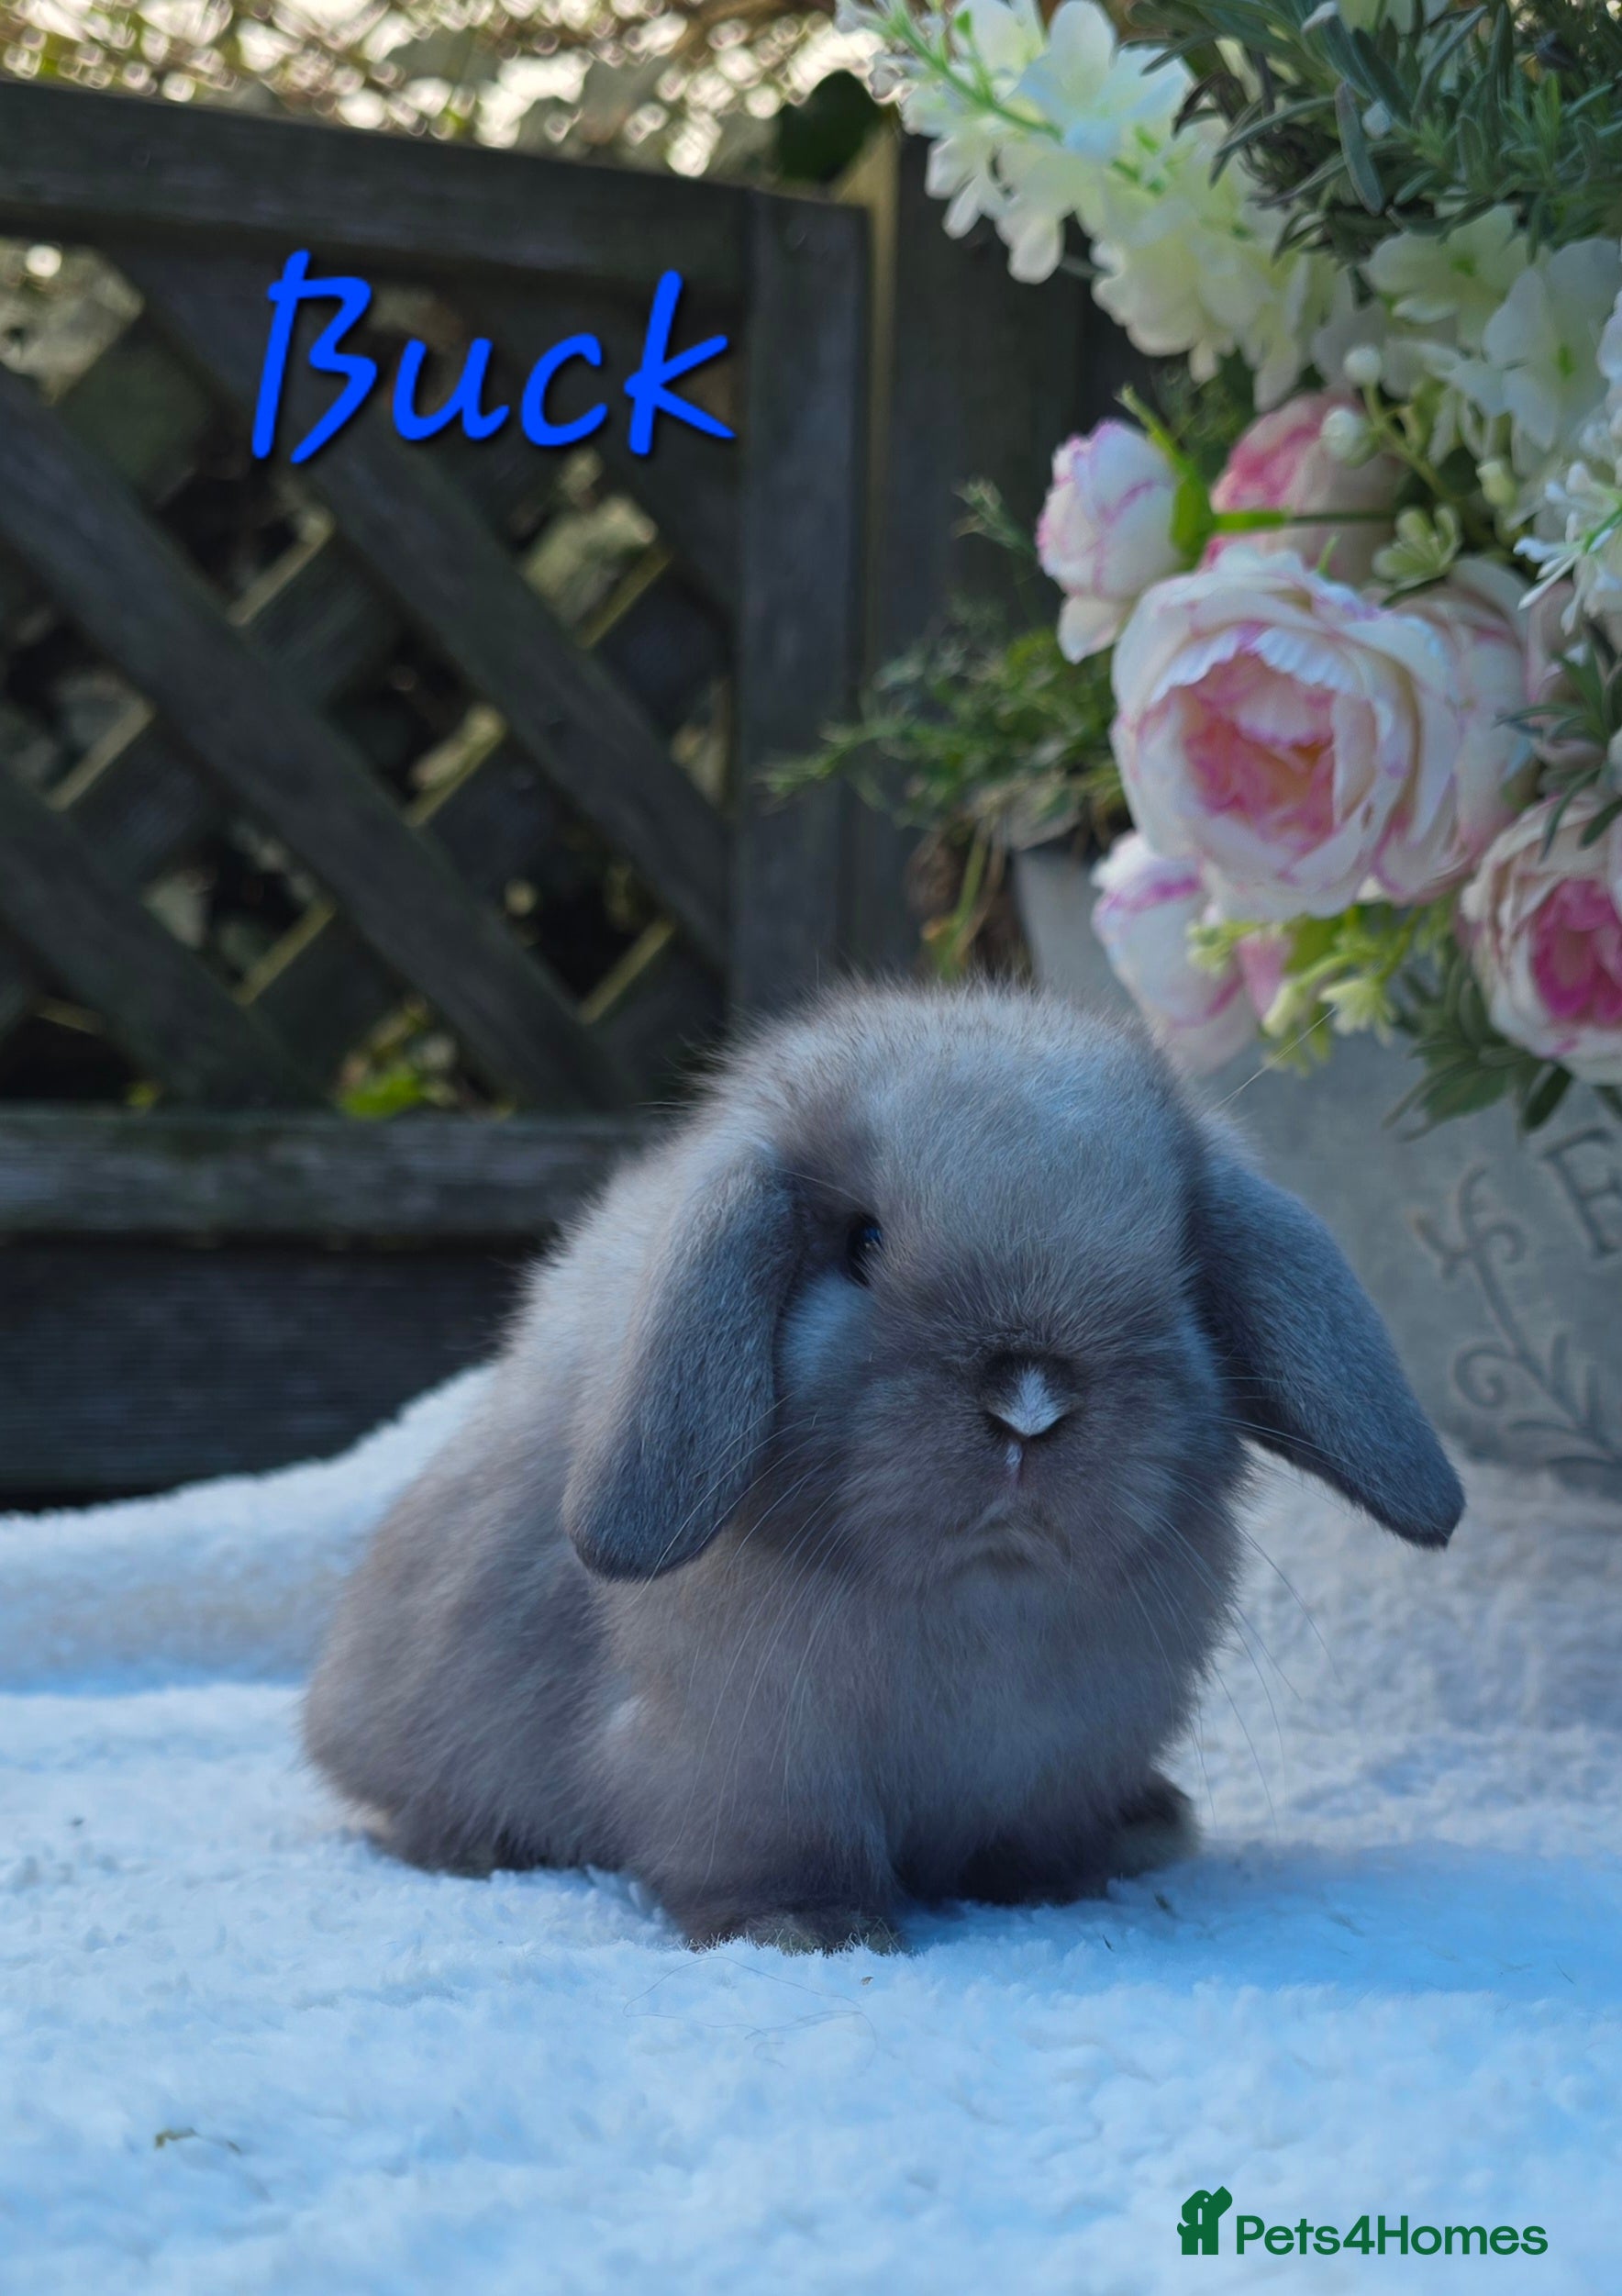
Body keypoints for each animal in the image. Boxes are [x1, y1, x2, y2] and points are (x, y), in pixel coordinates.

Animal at [305, 981, 1462, 1952]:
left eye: (1178, 1267)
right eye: (861, 1244)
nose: (1030, 1403)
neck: (980, 1603)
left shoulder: (1059, 1762)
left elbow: (1032, 1846)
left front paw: (1060, 1887)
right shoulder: (747, 1769)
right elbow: (771, 1861)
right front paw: (810, 1934)